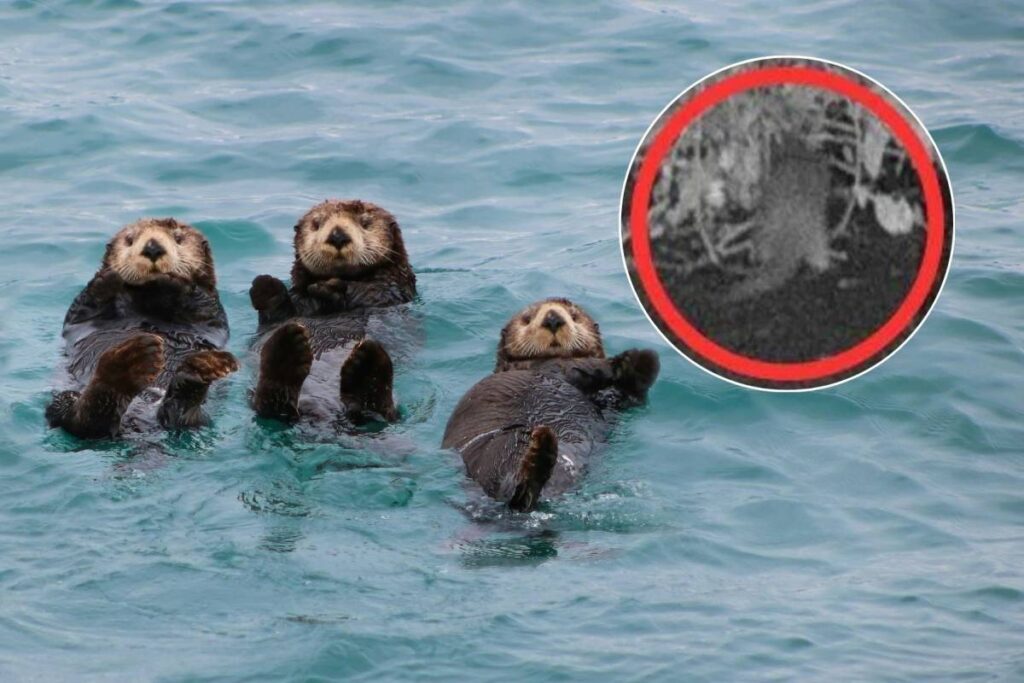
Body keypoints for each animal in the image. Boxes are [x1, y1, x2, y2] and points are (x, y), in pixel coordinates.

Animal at [46, 218, 238, 438]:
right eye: (130, 239)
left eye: (178, 238)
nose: (153, 247)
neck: (149, 301)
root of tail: (139, 421)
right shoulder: (80, 314)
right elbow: (84, 306)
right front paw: (108, 277)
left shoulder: (212, 311)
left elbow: (201, 303)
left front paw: (172, 280)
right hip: (63, 399)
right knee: (81, 421)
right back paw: (130, 363)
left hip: (201, 419)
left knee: (179, 417)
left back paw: (196, 372)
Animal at [248, 199, 416, 425]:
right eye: (317, 224)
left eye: (365, 223)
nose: (337, 236)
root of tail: (323, 412)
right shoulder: (294, 306)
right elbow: (278, 313)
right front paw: (265, 286)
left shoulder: (390, 290)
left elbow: (369, 292)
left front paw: (330, 288)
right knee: (270, 405)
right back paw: (287, 349)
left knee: (381, 412)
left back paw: (367, 366)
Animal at [442, 298, 659, 512]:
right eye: (527, 319)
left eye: (574, 316)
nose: (553, 319)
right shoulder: (550, 366)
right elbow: (580, 367)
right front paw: (625, 362)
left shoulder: (611, 402)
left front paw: (638, 363)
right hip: (496, 451)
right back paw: (538, 454)